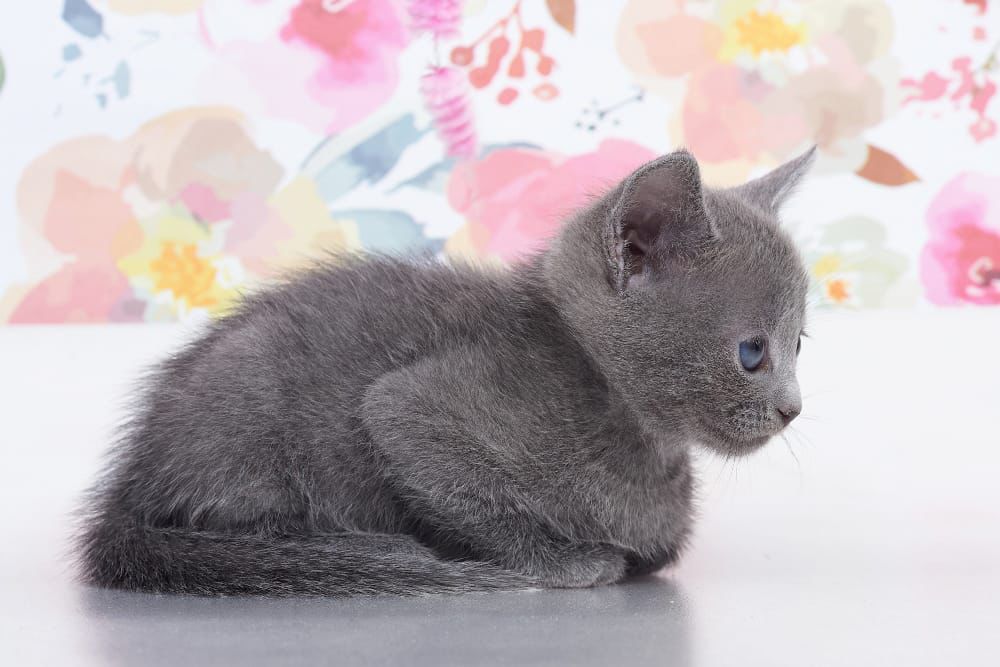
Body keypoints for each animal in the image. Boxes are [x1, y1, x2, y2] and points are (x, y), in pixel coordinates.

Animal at [77, 146, 814, 597]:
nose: (793, 408)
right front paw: (563, 559)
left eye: (800, 341)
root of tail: (130, 480)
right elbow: (456, 481)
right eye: (753, 352)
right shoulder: (410, 408)